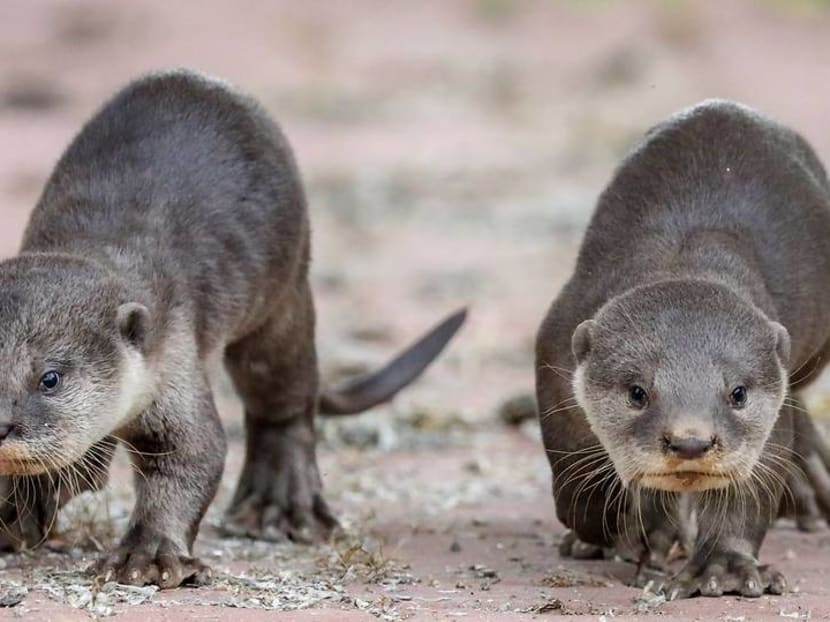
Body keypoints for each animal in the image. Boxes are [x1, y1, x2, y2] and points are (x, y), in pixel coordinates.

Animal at [0, 69, 466, 588]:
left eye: (50, 378)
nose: (1, 422)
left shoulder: (173, 359)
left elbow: (192, 455)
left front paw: (148, 556)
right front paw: (16, 514)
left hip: (283, 298)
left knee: (284, 400)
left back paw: (279, 507)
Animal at [535, 99, 830, 599]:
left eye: (737, 394)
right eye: (637, 392)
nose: (690, 442)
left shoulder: (769, 411)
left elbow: (749, 490)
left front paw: (723, 568)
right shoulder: (555, 353)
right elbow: (573, 477)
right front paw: (622, 529)